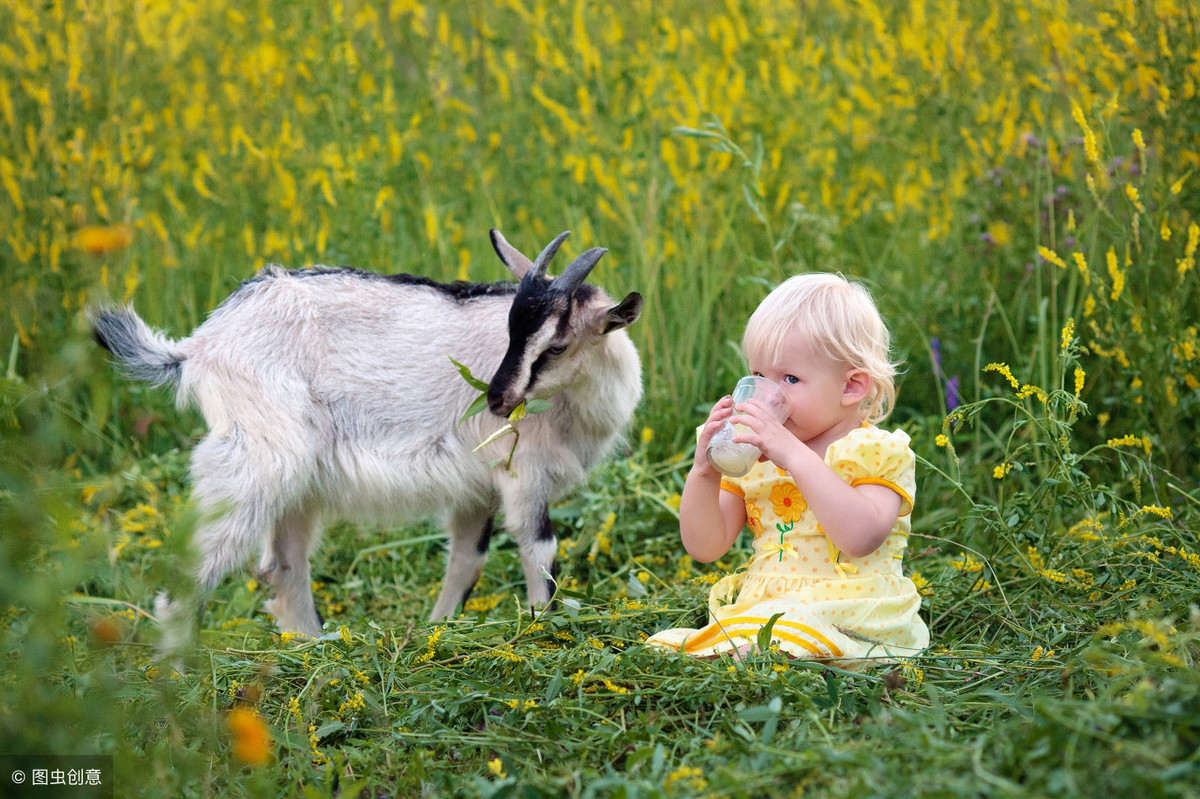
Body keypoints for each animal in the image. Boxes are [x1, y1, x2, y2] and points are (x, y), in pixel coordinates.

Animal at [91, 229, 648, 633]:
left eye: (556, 345)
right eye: (513, 331)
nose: (496, 400)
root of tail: (195, 347)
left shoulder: (475, 488)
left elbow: (467, 560)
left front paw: (437, 630)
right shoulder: (521, 471)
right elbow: (539, 551)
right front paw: (540, 630)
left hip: (295, 481)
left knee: (283, 567)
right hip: (254, 459)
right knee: (190, 579)